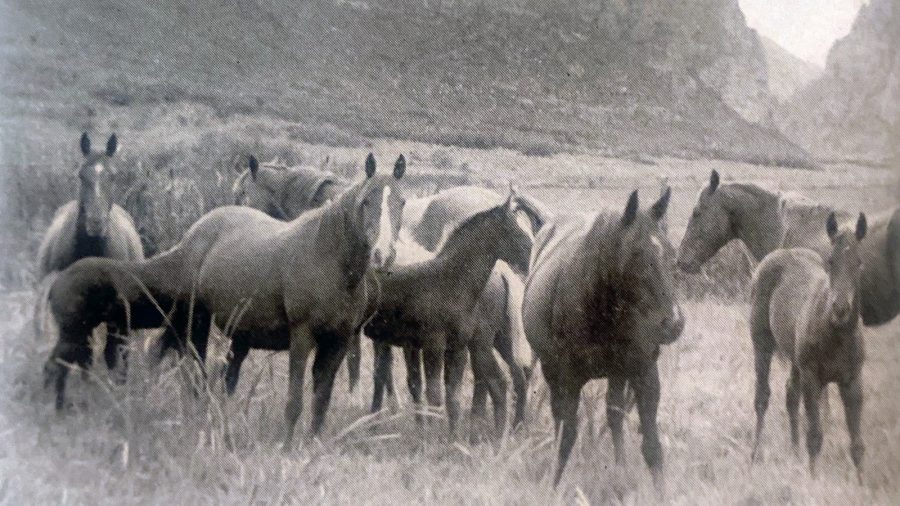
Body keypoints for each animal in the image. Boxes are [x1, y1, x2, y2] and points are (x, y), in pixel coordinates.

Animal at [364, 196, 534, 439]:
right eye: (512, 229)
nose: (531, 254)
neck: (450, 282)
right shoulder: (432, 345)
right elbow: (434, 392)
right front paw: (433, 435)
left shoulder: (457, 347)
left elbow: (450, 395)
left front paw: (449, 437)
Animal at [523, 188, 684, 490]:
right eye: (636, 253)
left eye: (671, 252)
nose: (673, 323)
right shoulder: (568, 378)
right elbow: (566, 436)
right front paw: (553, 486)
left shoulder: (643, 371)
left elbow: (652, 446)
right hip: (552, 370)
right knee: (561, 419)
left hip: (618, 372)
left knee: (614, 414)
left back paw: (620, 471)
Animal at [749, 213, 868, 482]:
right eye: (831, 261)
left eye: (858, 262)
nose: (840, 309)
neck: (835, 333)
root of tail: (781, 252)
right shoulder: (812, 378)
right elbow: (814, 435)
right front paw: (813, 479)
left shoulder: (852, 381)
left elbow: (857, 443)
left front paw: (860, 483)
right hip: (762, 344)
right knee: (762, 396)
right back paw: (755, 453)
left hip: (795, 361)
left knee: (791, 394)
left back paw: (794, 453)